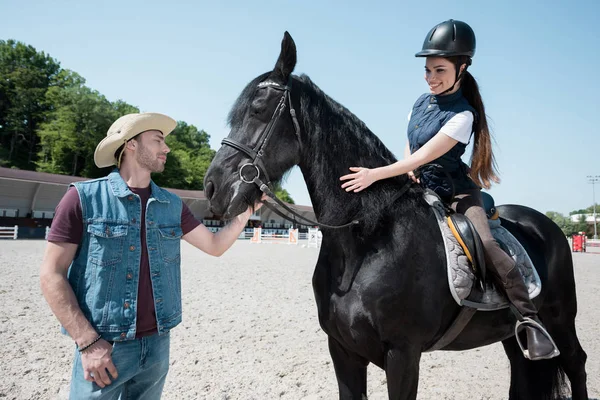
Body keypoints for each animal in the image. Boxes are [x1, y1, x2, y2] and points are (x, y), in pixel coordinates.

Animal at [204, 32, 588, 400]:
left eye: (257, 110)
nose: (212, 187)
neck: (368, 238)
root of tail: (544, 225)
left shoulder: (403, 354)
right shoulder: (342, 349)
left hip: (559, 320)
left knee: (576, 363)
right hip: (510, 334)